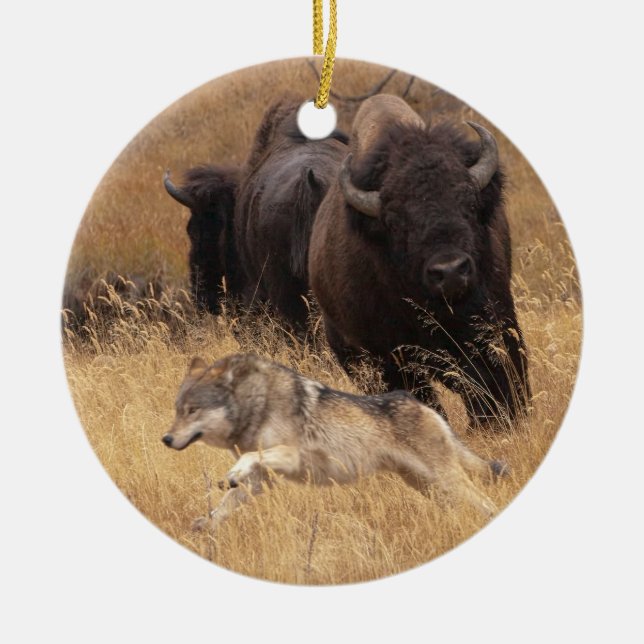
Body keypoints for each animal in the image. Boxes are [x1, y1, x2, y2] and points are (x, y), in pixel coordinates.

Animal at [162, 354, 507, 531]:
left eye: (192, 410)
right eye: (177, 409)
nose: (166, 439)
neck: (257, 403)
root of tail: (425, 408)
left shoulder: (291, 455)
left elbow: (249, 459)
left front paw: (231, 474)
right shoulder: (264, 480)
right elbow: (225, 505)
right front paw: (204, 525)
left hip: (444, 482)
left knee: (486, 502)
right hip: (428, 486)